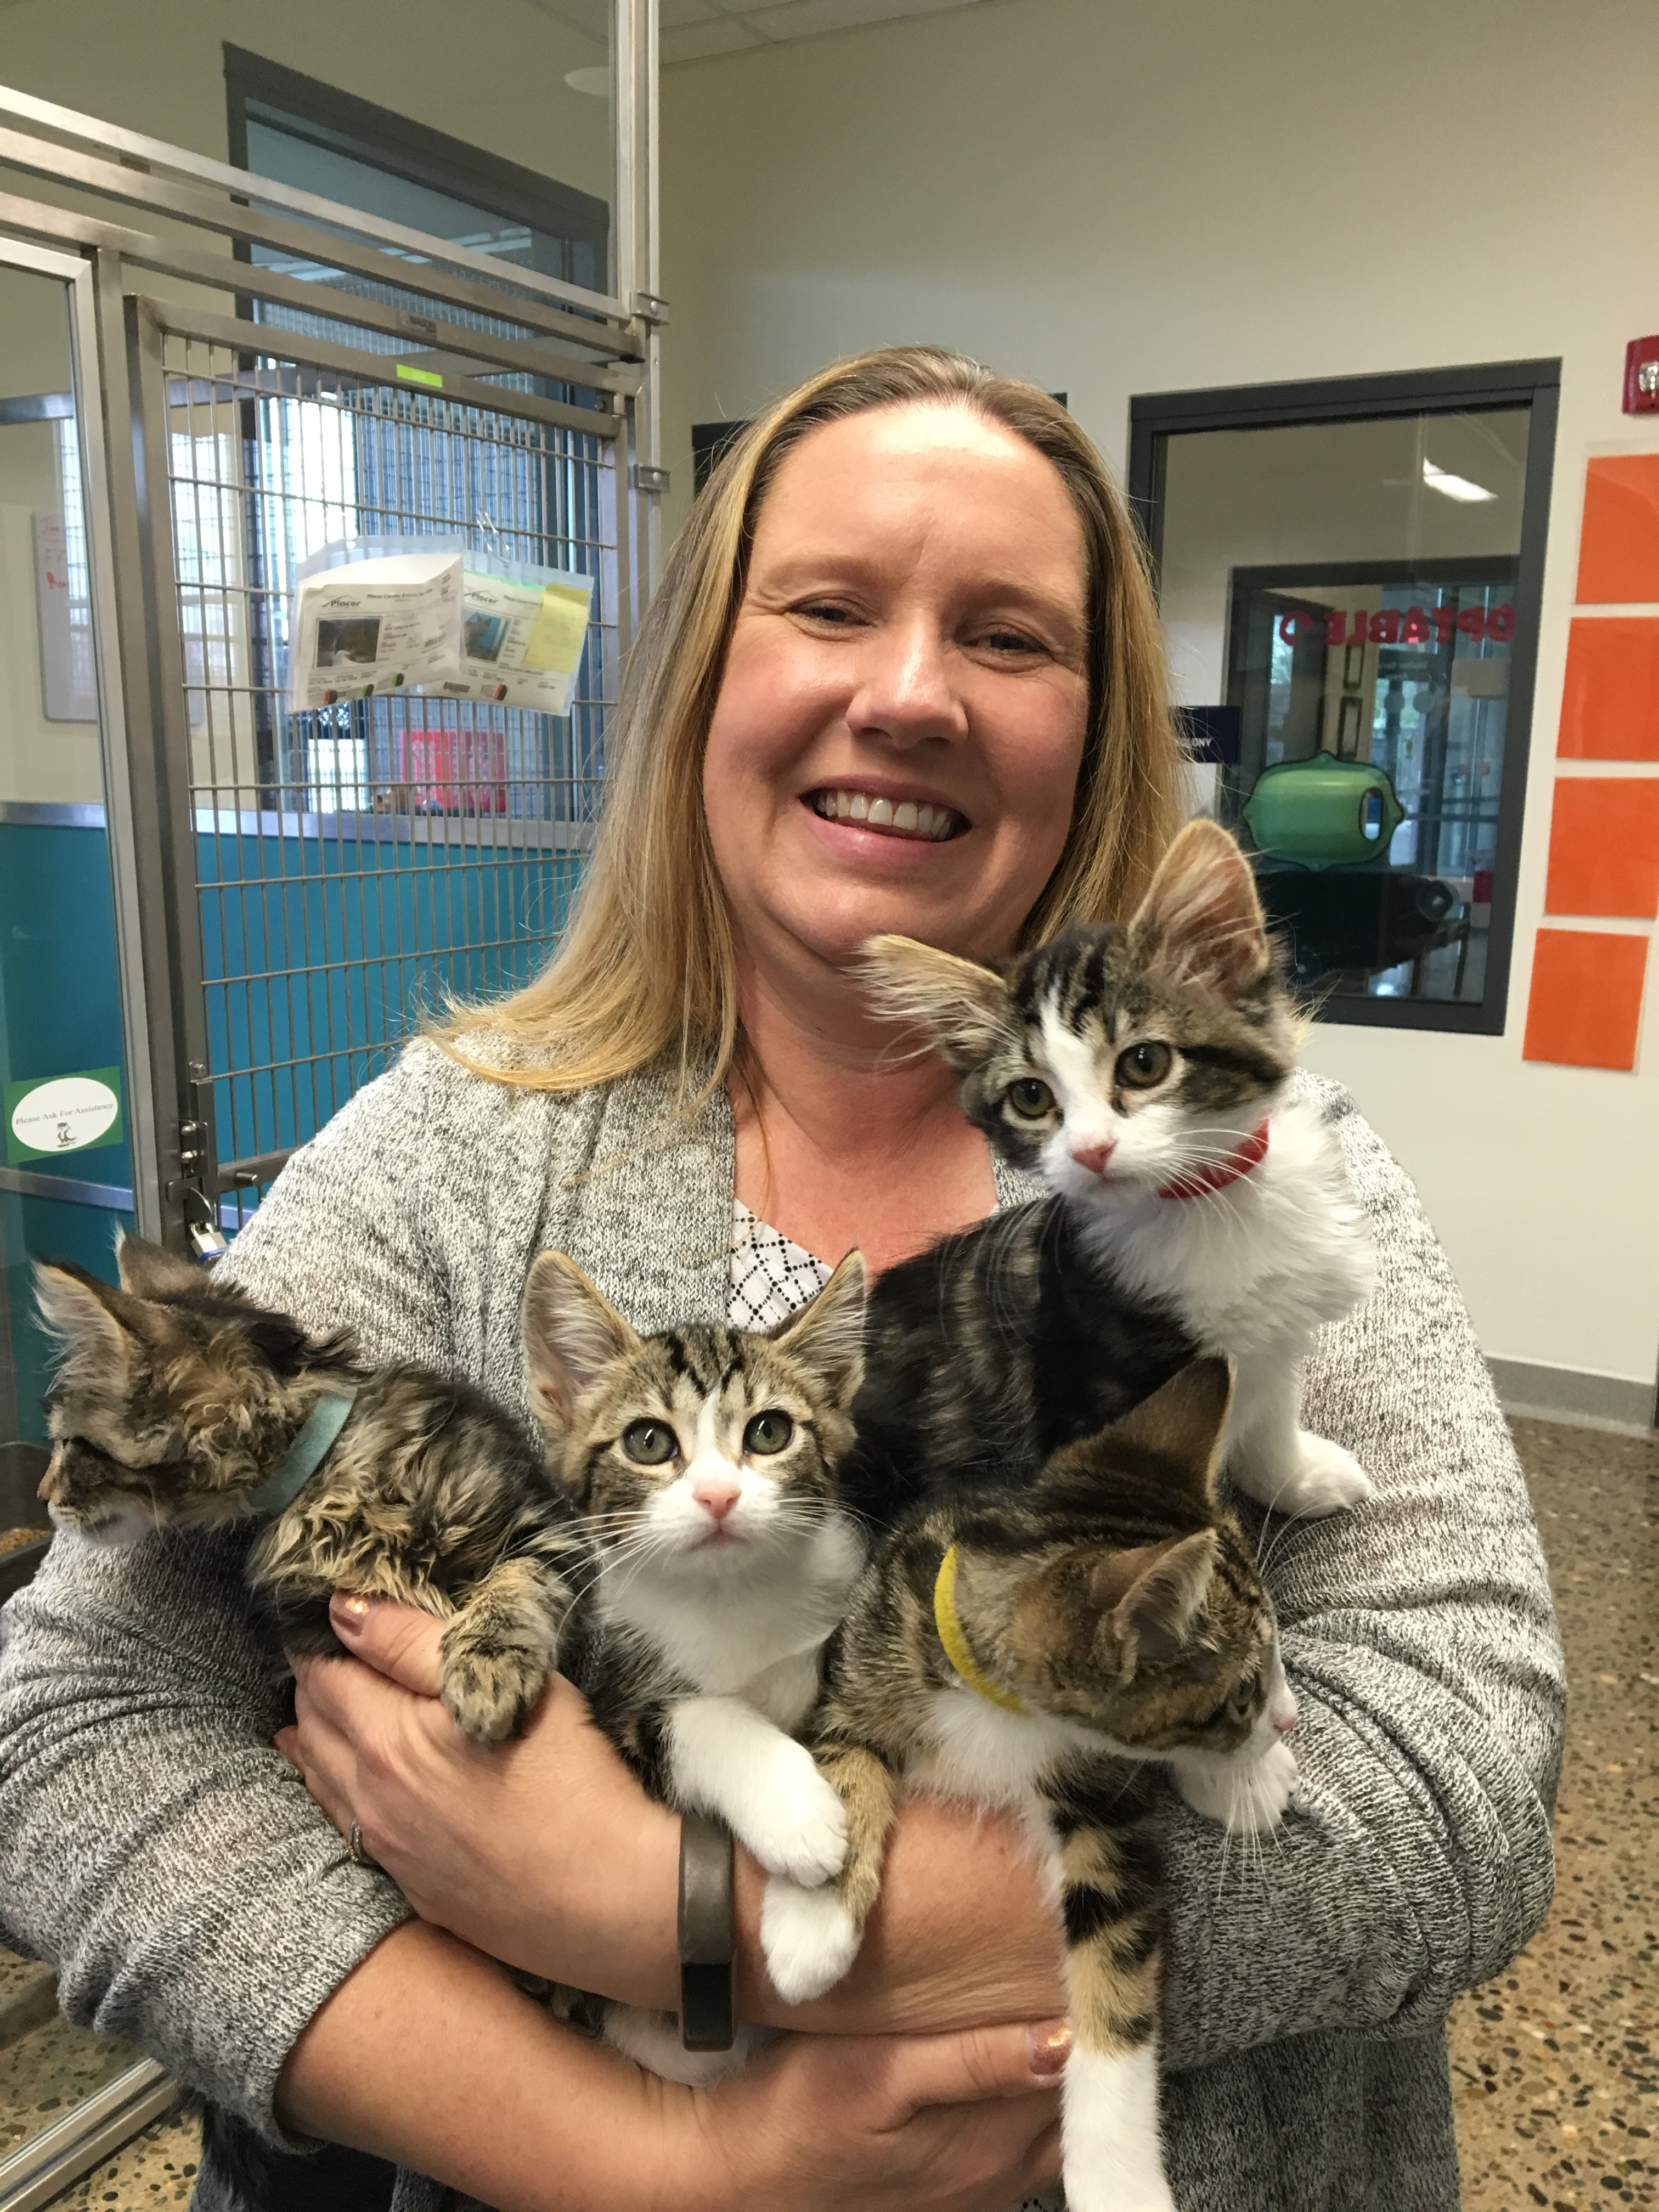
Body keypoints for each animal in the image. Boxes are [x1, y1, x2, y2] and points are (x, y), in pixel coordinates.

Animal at [27, 1238, 592, 1734]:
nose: (43, 1495)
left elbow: (518, 1584)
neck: (330, 1477)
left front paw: (489, 1665)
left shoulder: (545, 1528)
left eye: (72, 1445)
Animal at [765, 1353, 1300, 2212]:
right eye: (1242, 1694)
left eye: (1264, 1674)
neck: (997, 1705)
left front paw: (1117, 2180)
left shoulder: (1105, 1808)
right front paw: (813, 1924)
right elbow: (846, 1760)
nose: (1284, 1717)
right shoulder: (860, 1662)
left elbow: (1117, 1967)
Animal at [862, 818, 1380, 1539]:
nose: (1091, 1150)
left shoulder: (1276, 1331)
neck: (1206, 1202)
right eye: (1031, 1097)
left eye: (1143, 1063)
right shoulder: (1098, 1387)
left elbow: (1272, 1401)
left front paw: (1293, 1474)